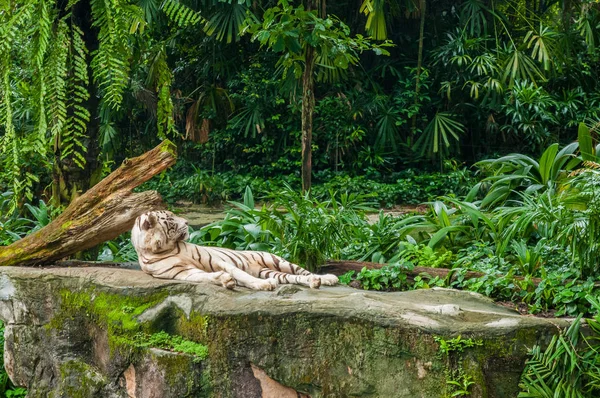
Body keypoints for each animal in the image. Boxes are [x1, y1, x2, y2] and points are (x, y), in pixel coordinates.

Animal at [129, 210, 340, 290]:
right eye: (171, 219)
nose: (188, 222)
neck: (164, 249)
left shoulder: (216, 260)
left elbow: (239, 273)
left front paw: (261, 285)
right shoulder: (183, 273)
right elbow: (205, 277)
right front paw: (225, 280)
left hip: (276, 260)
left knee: (304, 271)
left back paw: (327, 278)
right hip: (270, 271)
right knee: (294, 278)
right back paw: (314, 282)